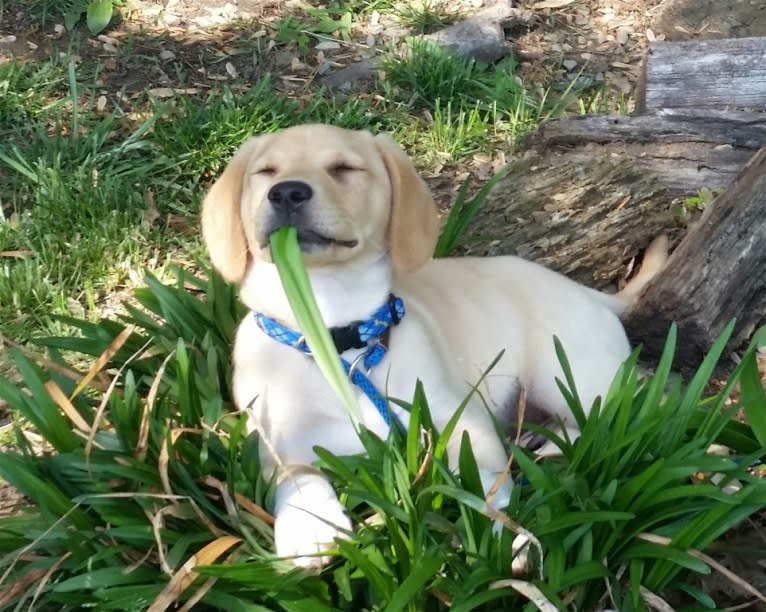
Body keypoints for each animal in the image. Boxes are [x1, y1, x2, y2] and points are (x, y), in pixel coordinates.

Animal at [201, 124, 668, 568]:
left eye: (345, 168)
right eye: (266, 173)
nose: (287, 192)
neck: (335, 337)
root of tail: (593, 294)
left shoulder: (460, 419)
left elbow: (485, 483)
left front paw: (501, 535)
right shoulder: (271, 442)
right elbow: (296, 477)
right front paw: (308, 527)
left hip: (567, 375)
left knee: (642, 406)